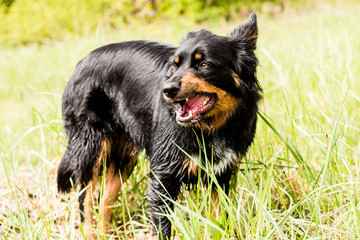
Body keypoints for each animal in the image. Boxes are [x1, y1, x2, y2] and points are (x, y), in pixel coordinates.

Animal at [57, 12, 262, 239]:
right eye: (174, 65)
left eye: (205, 64)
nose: (167, 89)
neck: (210, 128)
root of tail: (81, 63)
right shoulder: (163, 176)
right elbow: (162, 228)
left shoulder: (220, 175)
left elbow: (218, 219)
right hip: (92, 148)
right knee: (85, 199)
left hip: (124, 157)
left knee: (104, 201)